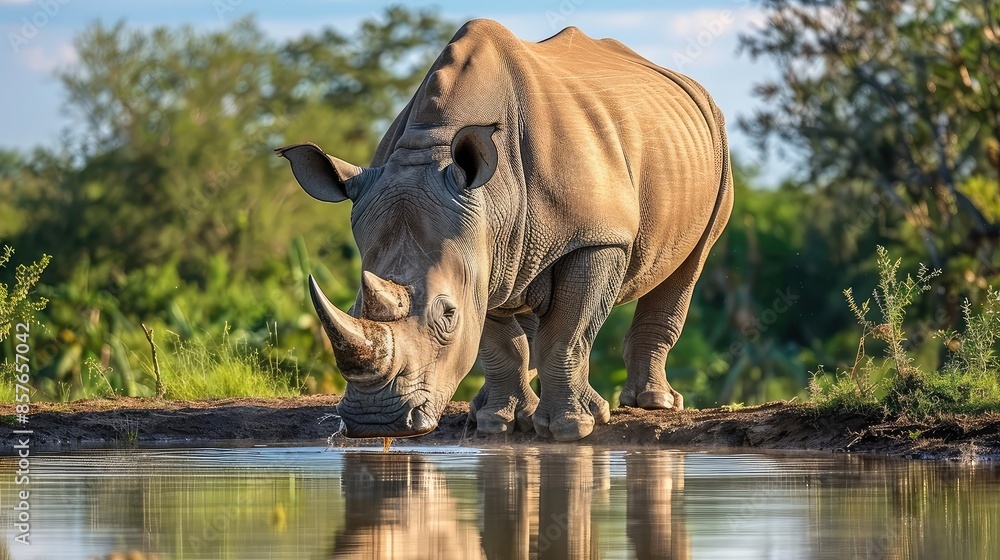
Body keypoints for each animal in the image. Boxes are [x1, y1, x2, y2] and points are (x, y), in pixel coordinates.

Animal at [277, 19, 733, 441]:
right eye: (354, 305)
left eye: (448, 314)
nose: (376, 423)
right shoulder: (480, 247)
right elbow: (498, 341)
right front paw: (498, 424)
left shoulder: (596, 238)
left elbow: (567, 332)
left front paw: (571, 428)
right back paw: (490, 410)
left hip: (716, 144)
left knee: (689, 264)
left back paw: (655, 404)